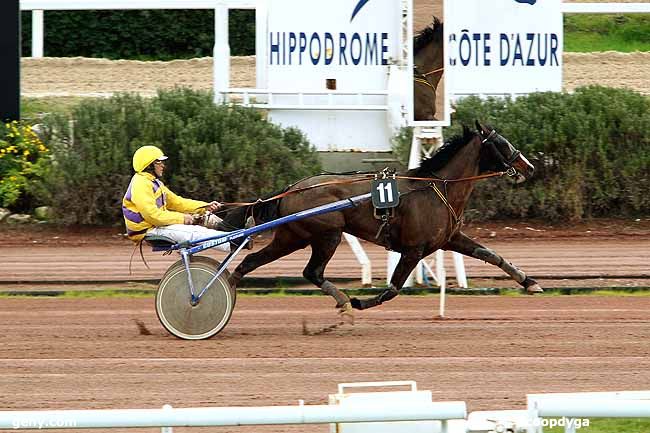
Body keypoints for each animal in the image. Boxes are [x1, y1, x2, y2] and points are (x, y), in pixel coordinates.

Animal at [220, 121, 540, 320]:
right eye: (501, 143)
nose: (529, 167)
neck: (436, 188)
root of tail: (292, 188)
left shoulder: (448, 239)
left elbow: (492, 255)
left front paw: (530, 282)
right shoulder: (413, 250)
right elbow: (392, 289)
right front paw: (360, 301)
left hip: (292, 237)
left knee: (252, 263)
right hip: (325, 235)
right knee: (311, 272)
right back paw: (345, 301)